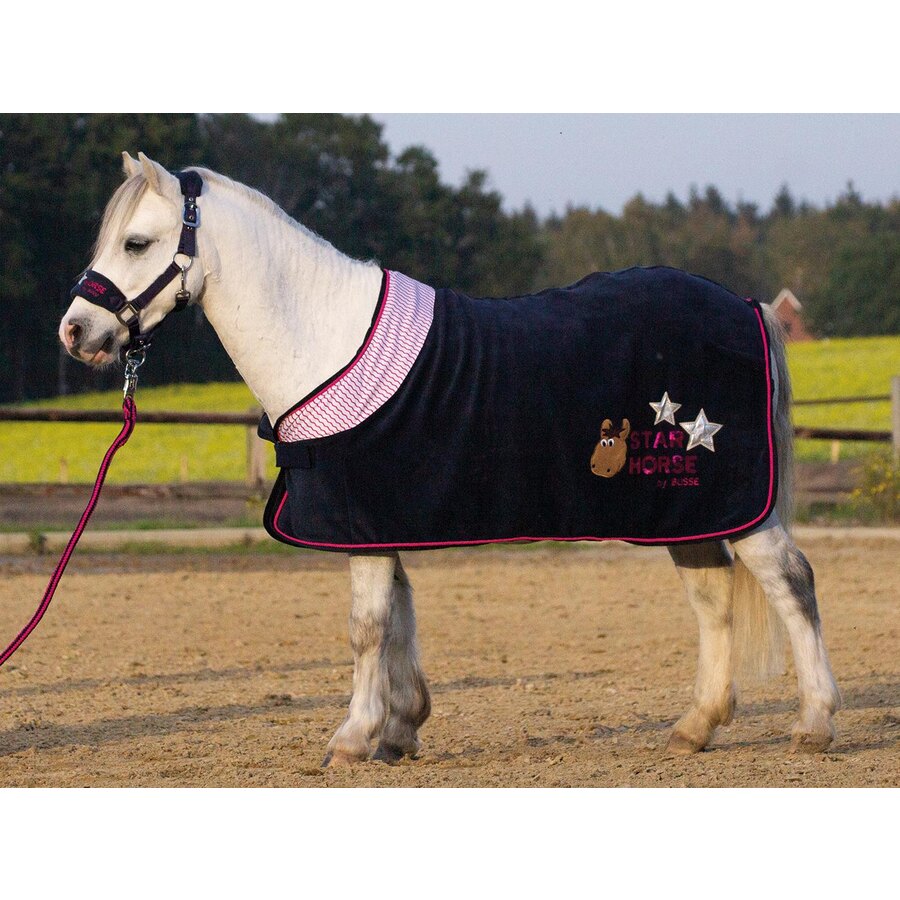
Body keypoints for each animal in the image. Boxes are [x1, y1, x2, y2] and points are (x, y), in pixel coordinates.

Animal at [59, 152, 841, 766]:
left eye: (136, 243)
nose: (75, 332)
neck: (325, 339)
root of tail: (744, 306)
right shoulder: (383, 519)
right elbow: (400, 616)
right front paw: (400, 729)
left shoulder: (363, 521)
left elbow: (368, 627)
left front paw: (353, 737)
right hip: (686, 508)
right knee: (713, 599)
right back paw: (695, 727)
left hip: (737, 507)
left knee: (792, 583)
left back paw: (814, 722)